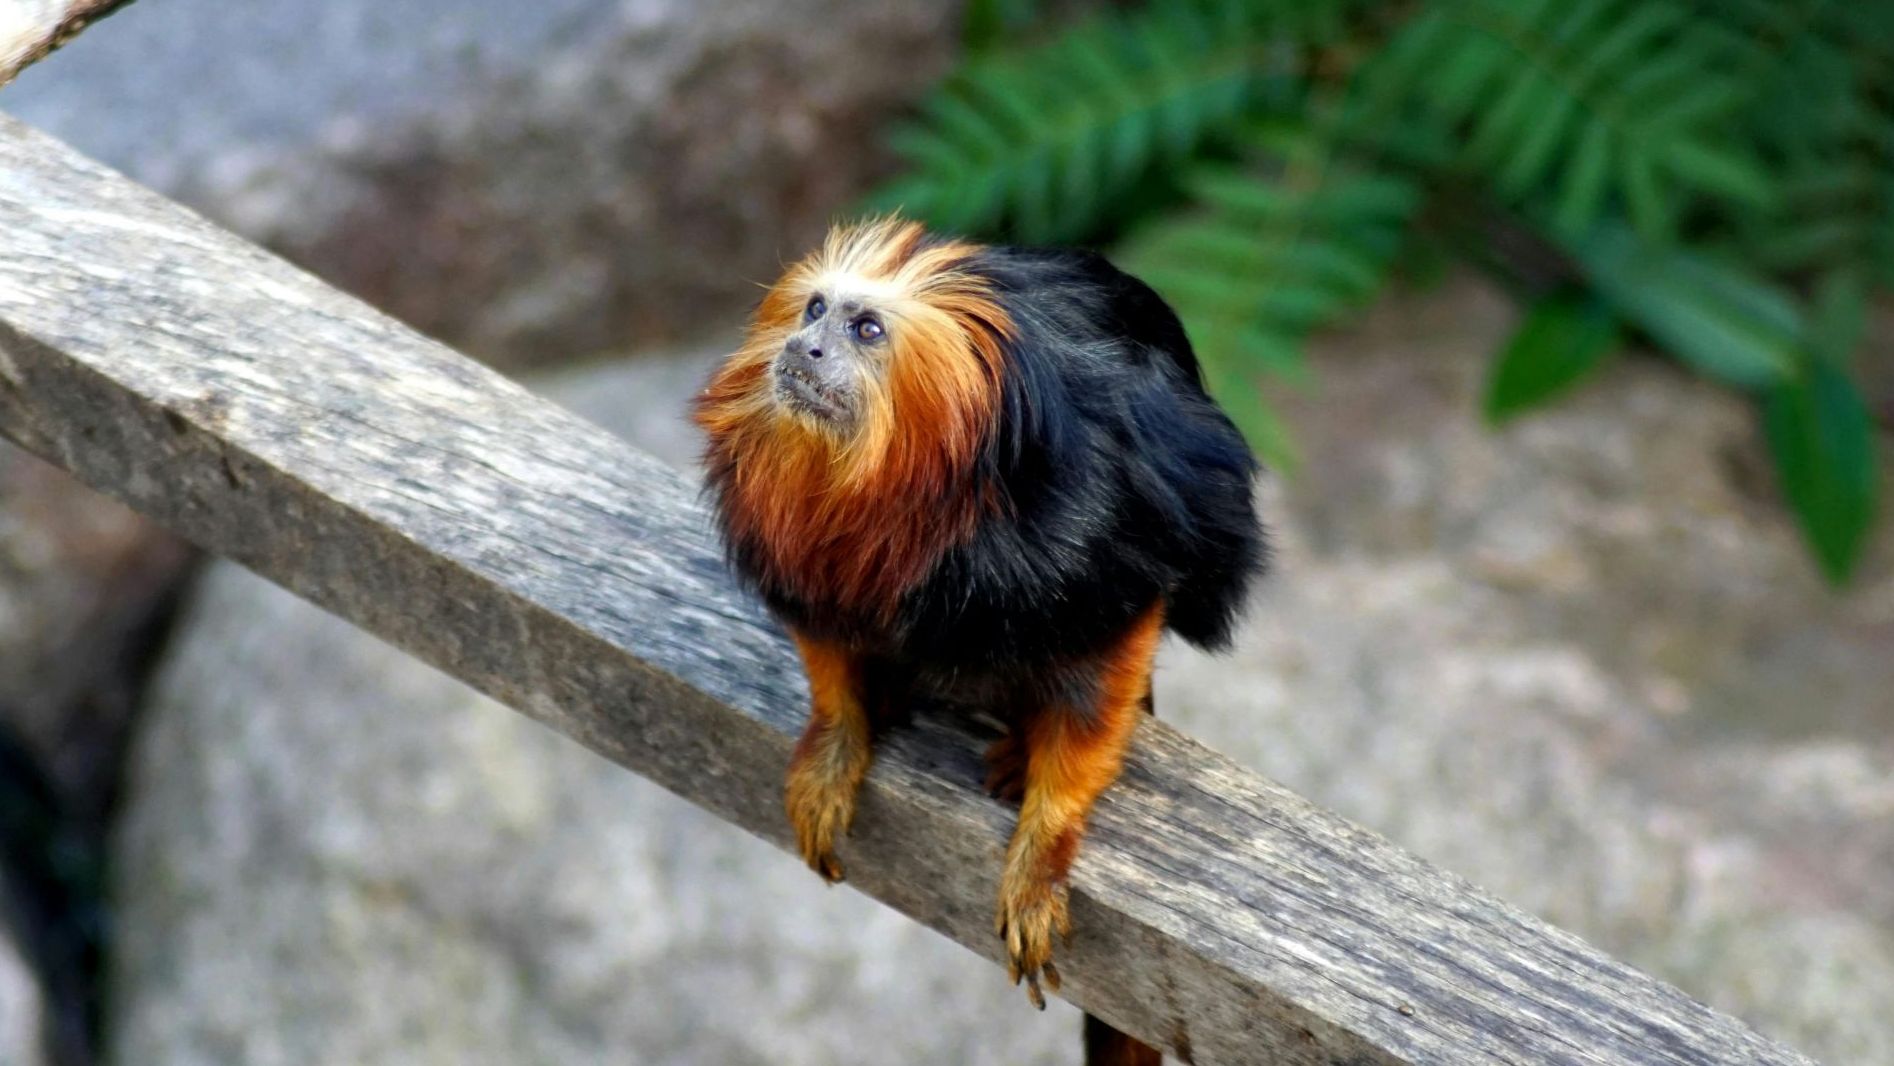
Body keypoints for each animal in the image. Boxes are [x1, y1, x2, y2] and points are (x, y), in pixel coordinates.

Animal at [693, 216, 1257, 1066]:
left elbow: (1102, 681)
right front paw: (834, 746)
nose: (805, 347)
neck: (908, 484)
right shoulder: (809, 567)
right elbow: (829, 651)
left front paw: (1041, 853)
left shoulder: (1093, 542)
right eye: (814, 309)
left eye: (865, 329)